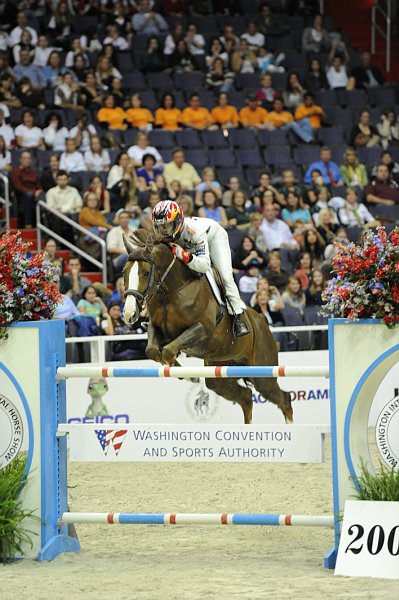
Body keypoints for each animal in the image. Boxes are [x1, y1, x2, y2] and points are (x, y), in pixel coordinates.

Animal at [122, 227, 294, 424]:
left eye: (144, 272)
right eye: (124, 272)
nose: (129, 314)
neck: (172, 291)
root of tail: (263, 322)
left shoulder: (201, 329)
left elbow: (167, 351)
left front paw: (190, 376)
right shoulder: (157, 329)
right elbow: (153, 351)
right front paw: (186, 375)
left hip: (261, 372)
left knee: (283, 398)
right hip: (219, 372)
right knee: (245, 397)